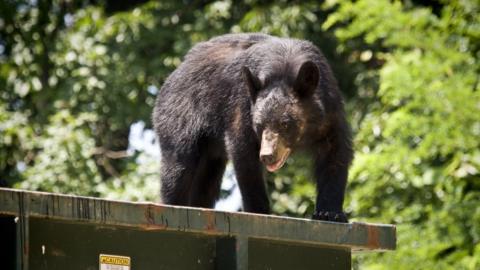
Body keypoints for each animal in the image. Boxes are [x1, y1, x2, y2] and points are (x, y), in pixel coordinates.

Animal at [153, 33, 352, 221]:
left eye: (285, 123)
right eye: (259, 125)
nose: (267, 155)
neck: (285, 69)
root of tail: (175, 72)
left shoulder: (331, 111)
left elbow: (335, 154)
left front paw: (330, 213)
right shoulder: (242, 105)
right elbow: (244, 154)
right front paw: (259, 210)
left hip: (210, 150)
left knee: (206, 180)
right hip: (180, 115)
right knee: (179, 166)